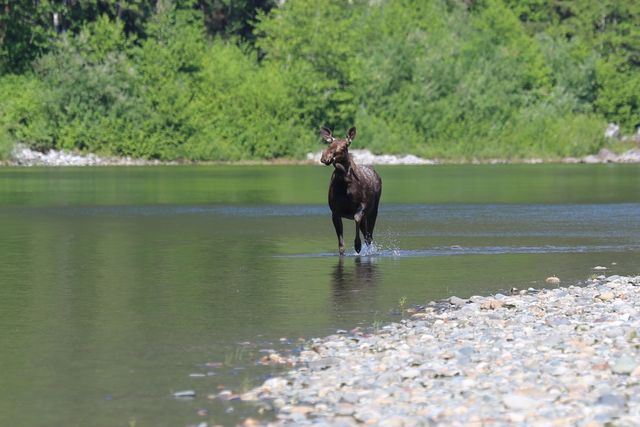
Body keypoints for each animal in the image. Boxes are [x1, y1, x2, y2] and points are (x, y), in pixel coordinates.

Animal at [320, 126, 380, 254]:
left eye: (344, 146)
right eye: (329, 143)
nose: (325, 157)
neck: (345, 185)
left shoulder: (362, 205)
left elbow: (357, 218)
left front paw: (357, 245)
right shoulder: (335, 212)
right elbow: (341, 246)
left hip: (373, 211)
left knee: (369, 236)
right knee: (367, 235)